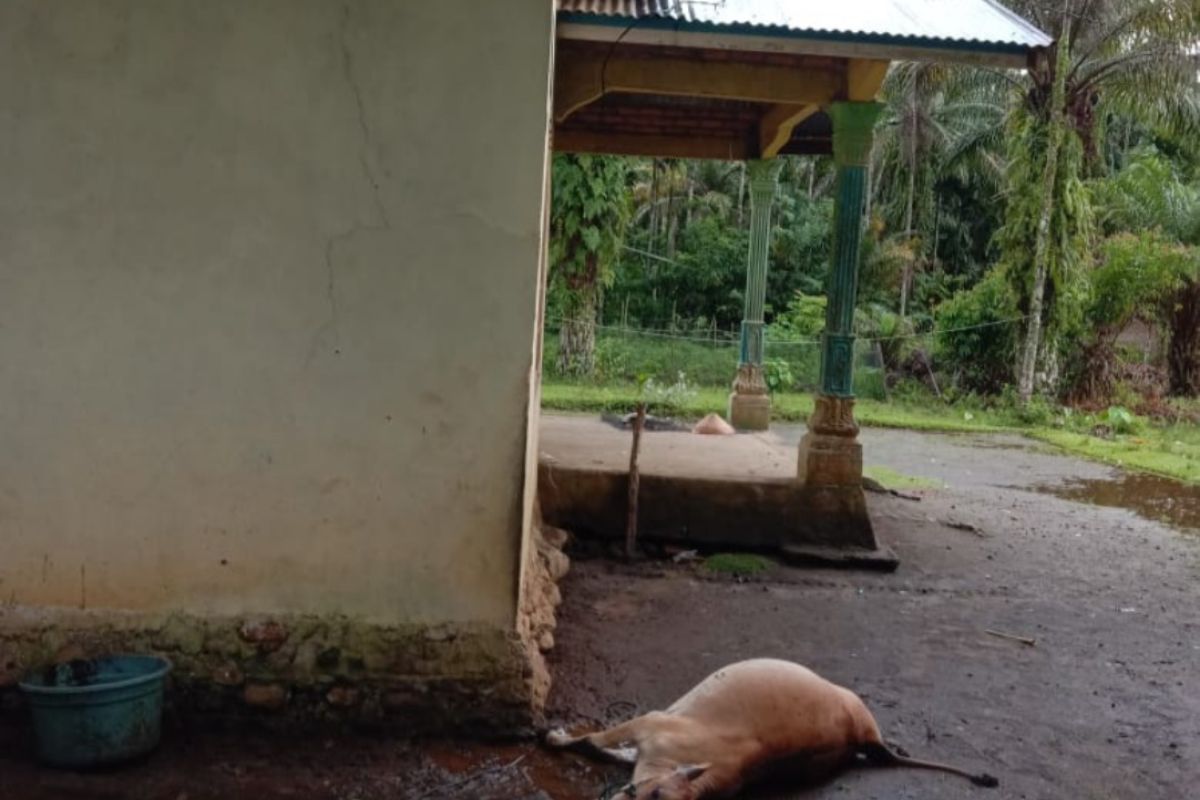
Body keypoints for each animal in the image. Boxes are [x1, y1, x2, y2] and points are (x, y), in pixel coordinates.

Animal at [549, 662, 998, 796]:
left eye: (658, 798)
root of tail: (862, 737)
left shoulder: (652, 721)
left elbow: (593, 740)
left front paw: (555, 736)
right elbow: (610, 748)